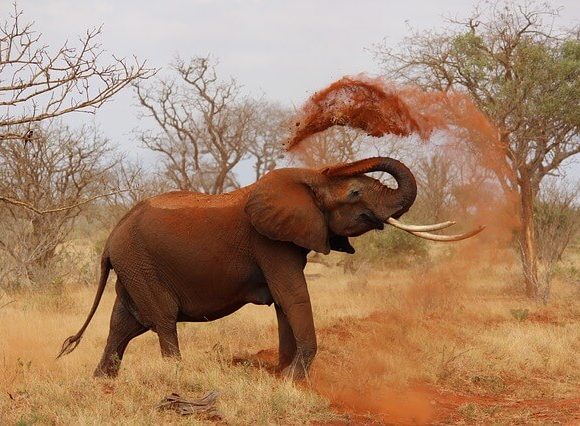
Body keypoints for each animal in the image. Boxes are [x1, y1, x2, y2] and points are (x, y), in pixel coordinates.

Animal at [59, 157, 482, 380]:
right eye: (355, 193)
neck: (309, 180)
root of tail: (111, 237)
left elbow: (284, 302)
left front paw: (282, 374)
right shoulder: (270, 243)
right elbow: (292, 295)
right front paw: (296, 379)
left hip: (133, 267)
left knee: (124, 323)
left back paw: (102, 383)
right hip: (141, 263)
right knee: (161, 320)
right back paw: (176, 377)